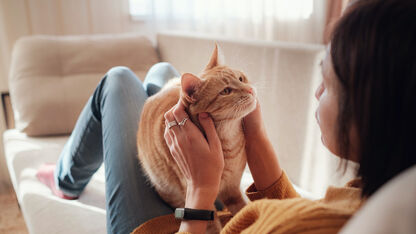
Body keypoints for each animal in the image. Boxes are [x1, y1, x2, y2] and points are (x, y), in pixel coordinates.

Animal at [136, 44, 255, 231]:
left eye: (241, 78)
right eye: (226, 91)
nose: (250, 89)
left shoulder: (232, 189)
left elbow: (243, 209)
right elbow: (212, 226)